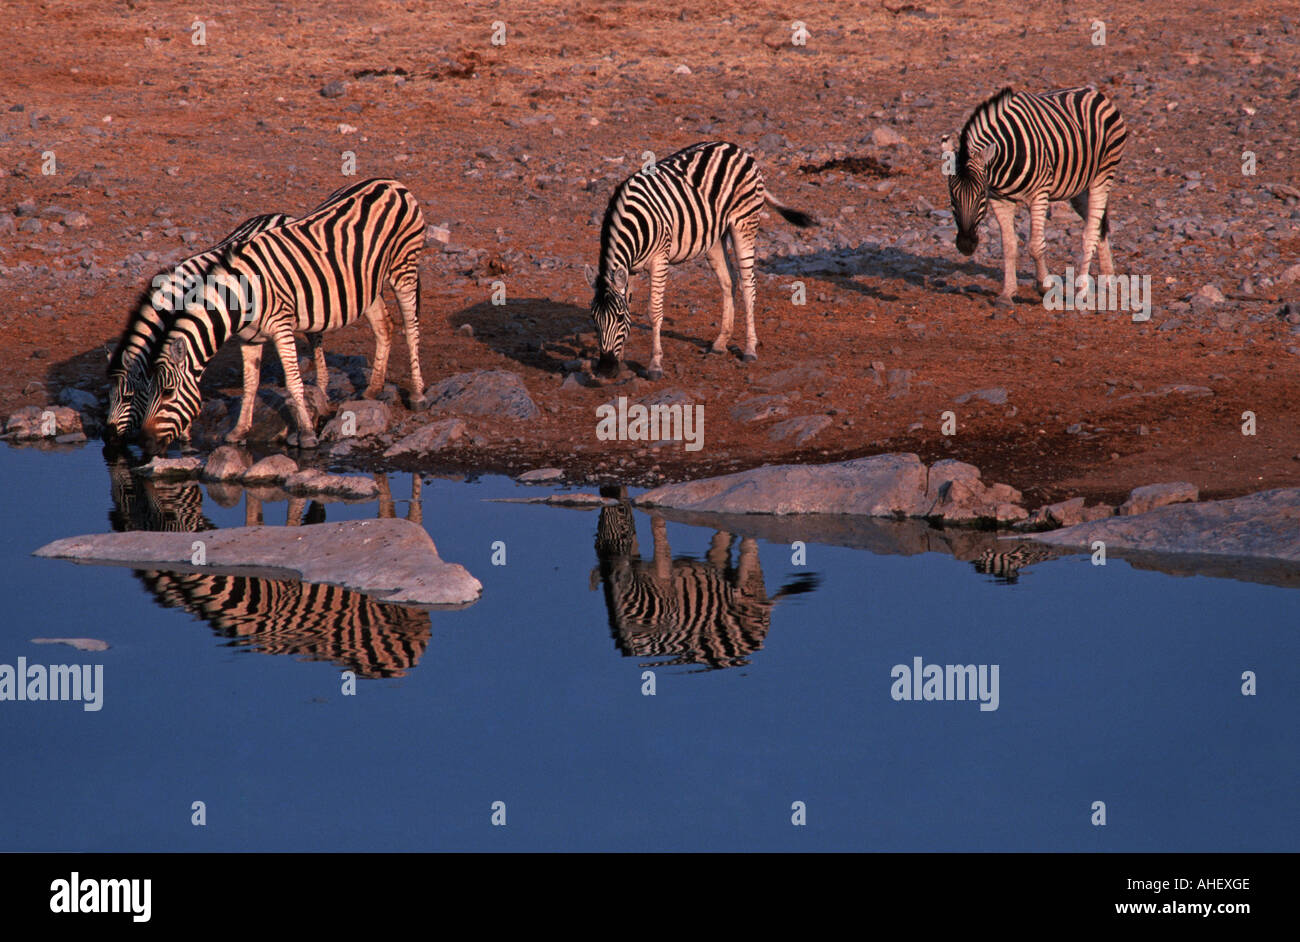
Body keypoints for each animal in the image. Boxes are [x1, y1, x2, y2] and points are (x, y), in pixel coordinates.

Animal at [136, 178, 429, 455]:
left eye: (168, 392)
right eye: (147, 392)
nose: (146, 444)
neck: (241, 297)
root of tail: (390, 183)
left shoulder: (281, 326)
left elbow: (293, 381)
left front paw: (307, 435)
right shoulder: (250, 338)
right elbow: (250, 384)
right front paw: (238, 432)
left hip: (404, 267)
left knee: (412, 329)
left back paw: (417, 394)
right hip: (366, 283)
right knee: (384, 327)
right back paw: (373, 389)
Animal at [584, 140, 816, 380]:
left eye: (619, 318)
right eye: (593, 318)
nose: (605, 370)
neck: (633, 224)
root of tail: (736, 148)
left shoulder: (660, 259)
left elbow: (653, 310)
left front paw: (655, 365)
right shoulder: (631, 269)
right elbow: (628, 300)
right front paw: (621, 358)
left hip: (744, 224)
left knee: (748, 284)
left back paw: (750, 349)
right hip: (714, 238)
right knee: (729, 281)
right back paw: (720, 343)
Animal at [943, 86, 1128, 305]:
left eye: (980, 195)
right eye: (952, 196)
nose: (965, 246)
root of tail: (1093, 91)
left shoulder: (1039, 194)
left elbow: (1035, 246)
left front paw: (1044, 286)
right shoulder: (1000, 200)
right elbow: (1009, 245)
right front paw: (1008, 292)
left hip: (1103, 174)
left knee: (1090, 232)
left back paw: (1082, 289)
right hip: (1080, 188)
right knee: (1100, 225)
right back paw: (1108, 279)